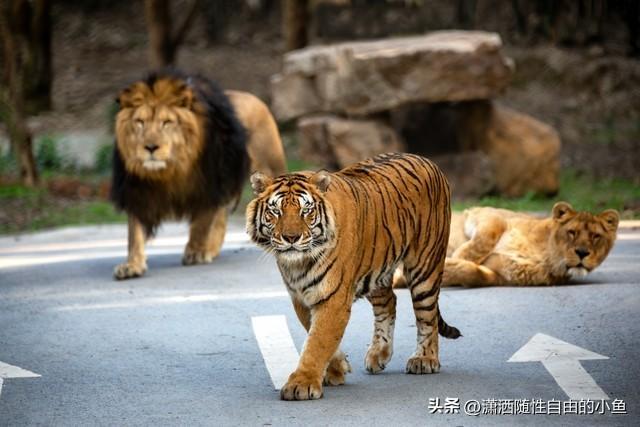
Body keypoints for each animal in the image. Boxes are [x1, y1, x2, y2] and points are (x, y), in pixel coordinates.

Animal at [111, 71, 286, 280]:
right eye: (140, 122)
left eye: (167, 122)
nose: (151, 147)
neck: (170, 169)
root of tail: (253, 97)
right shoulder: (137, 191)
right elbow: (134, 233)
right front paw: (132, 265)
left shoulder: (211, 183)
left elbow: (202, 222)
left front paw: (195, 252)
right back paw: (212, 248)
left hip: (270, 168)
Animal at [245, 153, 460, 402]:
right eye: (276, 212)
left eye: (306, 211)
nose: (291, 237)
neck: (298, 264)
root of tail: (427, 160)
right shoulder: (301, 297)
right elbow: (315, 333)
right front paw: (336, 369)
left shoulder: (333, 296)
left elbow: (318, 341)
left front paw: (302, 384)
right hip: (376, 269)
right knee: (389, 302)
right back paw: (379, 354)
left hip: (425, 266)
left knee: (427, 315)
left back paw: (425, 359)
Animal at [442, 203, 616, 288]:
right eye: (572, 232)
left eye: (596, 236)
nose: (582, 252)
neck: (547, 256)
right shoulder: (486, 214)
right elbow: (482, 242)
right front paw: (454, 257)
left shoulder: (498, 275)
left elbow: (473, 273)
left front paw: (447, 270)